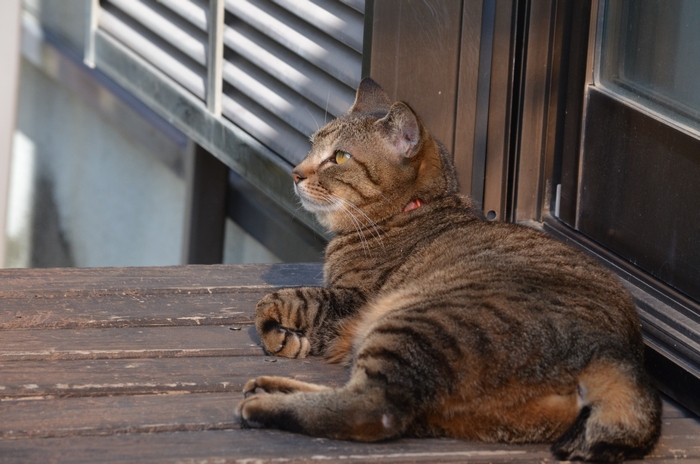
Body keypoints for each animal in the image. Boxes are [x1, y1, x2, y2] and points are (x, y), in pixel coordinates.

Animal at [235, 78, 660, 462]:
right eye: (312, 145)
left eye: (339, 158)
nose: (295, 172)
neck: (412, 208)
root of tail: (618, 355)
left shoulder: (350, 300)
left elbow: (274, 301)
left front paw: (279, 336)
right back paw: (270, 389)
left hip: (411, 323)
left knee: (375, 411)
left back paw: (264, 403)